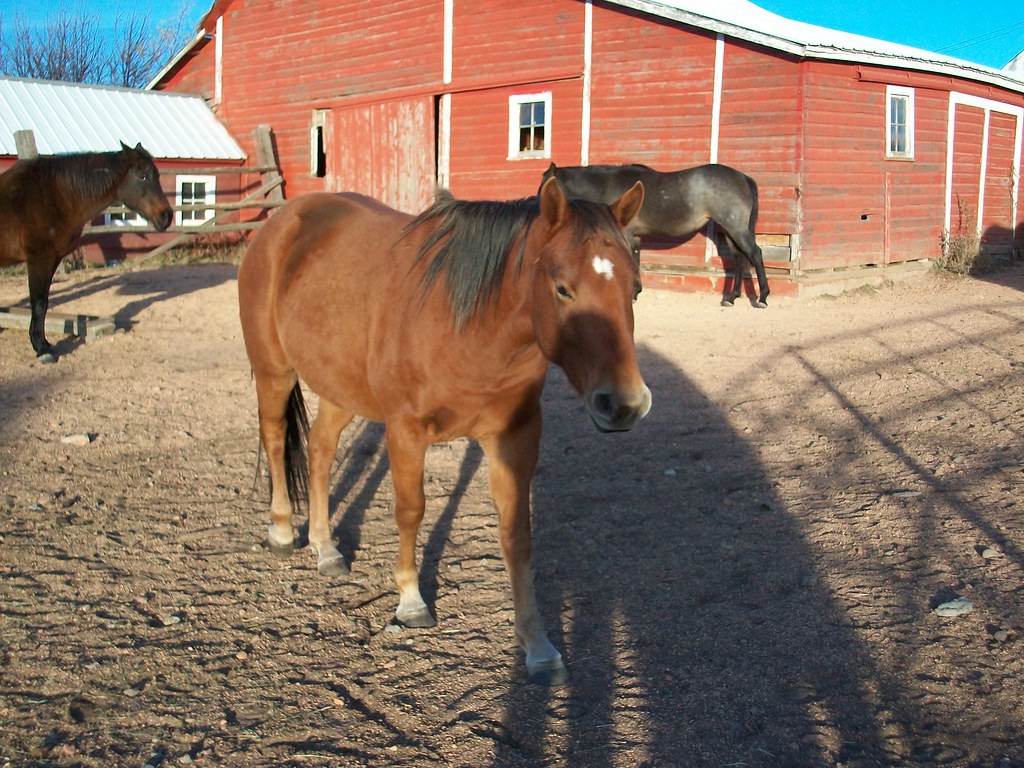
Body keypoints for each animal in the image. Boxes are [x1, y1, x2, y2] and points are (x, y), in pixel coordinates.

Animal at [0, 142, 173, 362]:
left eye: (157, 176)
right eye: (142, 176)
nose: (166, 215)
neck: (54, 195)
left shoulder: (53, 259)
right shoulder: (40, 259)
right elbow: (39, 303)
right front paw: (42, 348)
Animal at [237, 178, 651, 685]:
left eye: (635, 288)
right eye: (562, 289)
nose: (624, 404)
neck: (468, 325)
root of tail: (282, 223)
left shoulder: (515, 436)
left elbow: (517, 532)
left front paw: (538, 645)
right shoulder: (406, 431)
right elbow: (411, 512)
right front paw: (411, 602)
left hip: (340, 387)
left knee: (319, 450)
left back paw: (326, 548)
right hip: (274, 371)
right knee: (277, 438)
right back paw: (282, 531)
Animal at [541, 162, 769, 308]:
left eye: (546, 186)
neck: (607, 186)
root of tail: (742, 177)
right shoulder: (635, 237)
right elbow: (636, 261)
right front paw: (635, 293)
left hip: (736, 228)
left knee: (755, 254)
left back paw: (762, 298)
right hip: (730, 231)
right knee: (740, 258)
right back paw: (731, 297)